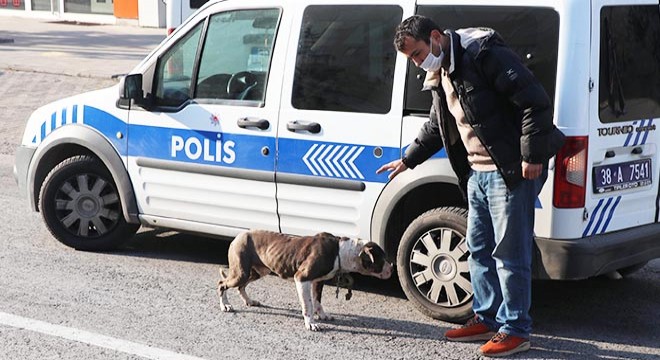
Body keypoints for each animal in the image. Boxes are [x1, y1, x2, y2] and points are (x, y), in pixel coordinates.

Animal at [217, 232, 392, 330]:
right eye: (382, 259)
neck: (340, 251)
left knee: (241, 286)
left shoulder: (318, 282)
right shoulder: (302, 279)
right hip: (241, 272)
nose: (391, 268)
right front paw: (311, 323)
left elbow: (317, 302)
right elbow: (308, 305)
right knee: (222, 284)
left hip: (258, 271)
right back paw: (225, 305)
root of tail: (238, 236)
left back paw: (249, 301)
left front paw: (323, 315)